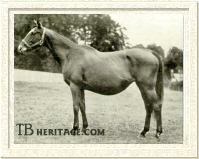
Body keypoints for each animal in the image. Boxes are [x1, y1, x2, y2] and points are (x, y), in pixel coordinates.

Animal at [17, 19, 163, 138]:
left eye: (33, 33)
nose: (20, 48)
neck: (70, 54)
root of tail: (150, 52)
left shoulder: (74, 86)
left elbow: (75, 106)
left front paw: (75, 129)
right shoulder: (81, 87)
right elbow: (83, 105)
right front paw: (84, 128)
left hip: (147, 87)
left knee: (156, 105)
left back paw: (157, 132)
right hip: (142, 87)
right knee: (148, 106)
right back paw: (144, 131)